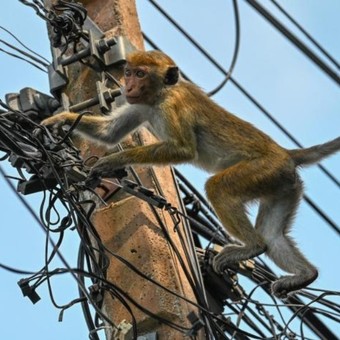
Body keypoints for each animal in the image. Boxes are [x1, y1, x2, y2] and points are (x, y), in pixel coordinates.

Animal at [41, 49, 340, 298]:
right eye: (129, 72)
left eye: (141, 74)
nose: (128, 86)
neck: (161, 94)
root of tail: (286, 154)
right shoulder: (139, 104)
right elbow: (109, 133)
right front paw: (58, 120)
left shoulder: (172, 106)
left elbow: (183, 149)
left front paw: (112, 160)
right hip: (283, 185)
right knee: (273, 235)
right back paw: (305, 274)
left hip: (263, 170)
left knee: (219, 189)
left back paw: (253, 247)